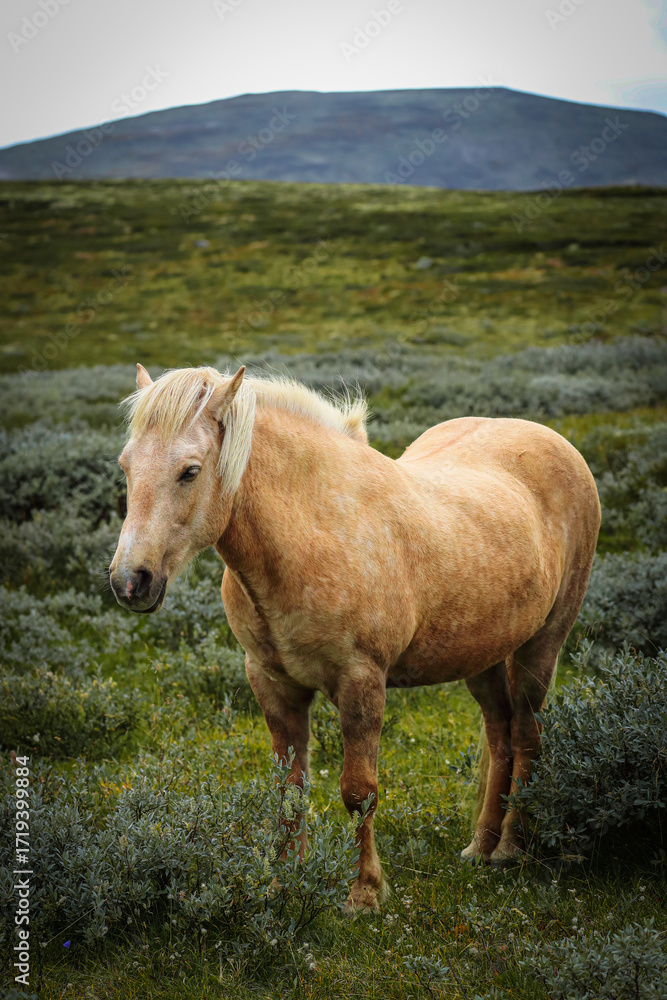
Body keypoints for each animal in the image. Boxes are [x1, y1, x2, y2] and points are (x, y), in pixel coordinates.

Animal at [110, 362, 600, 911]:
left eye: (189, 471)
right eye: (127, 466)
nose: (130, 581)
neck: (314, 533)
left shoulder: (361, 683)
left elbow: (358, 791)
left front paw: (364, 893)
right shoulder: (273, 685)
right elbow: (290, 788)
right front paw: (284, 884)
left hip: (544, 643)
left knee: (526, 735)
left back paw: (511, 848)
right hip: (483, 655)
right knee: (500, 736)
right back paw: (481, 846)